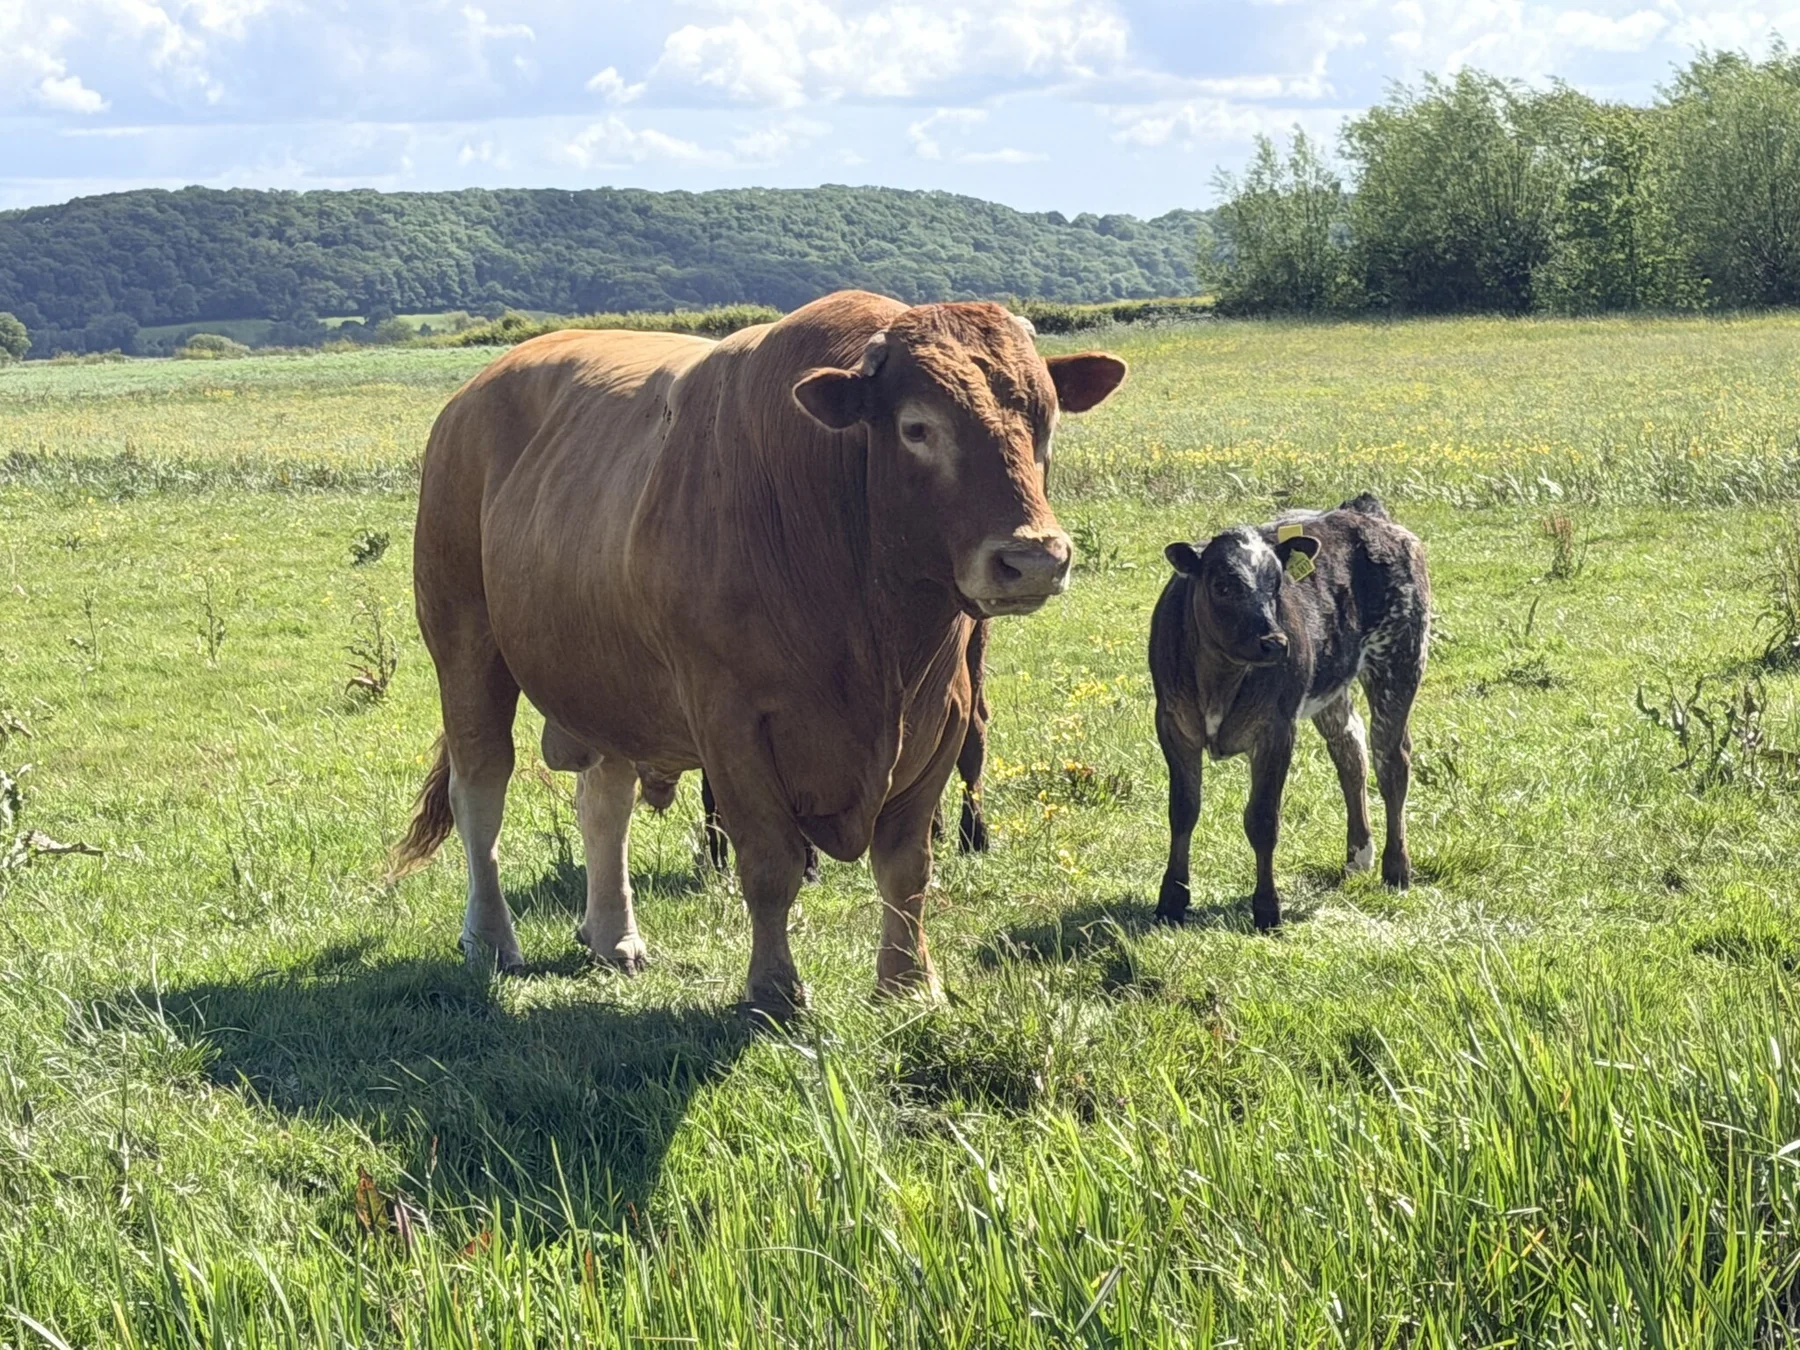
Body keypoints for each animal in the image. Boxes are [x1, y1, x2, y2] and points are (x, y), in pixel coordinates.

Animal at [389, 291, 1126, 1016]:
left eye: (1045, 422)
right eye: (918, 428)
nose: (1033, 559)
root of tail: (472, 395)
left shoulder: (943, 714)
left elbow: (907, 865)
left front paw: (909, 983)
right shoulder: (731, 722)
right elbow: (770, 864)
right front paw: (773, 986)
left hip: (609, 682)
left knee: (604, 801)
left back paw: (613, 934)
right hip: (465, 645)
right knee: (480, 791)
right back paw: (490, 937)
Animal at [1148, 493, 1429, 931]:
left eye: (1278, 583)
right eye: (1222, 584)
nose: (1275, 641)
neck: (1219, 681)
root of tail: (1363, 511)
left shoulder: (1276, 731)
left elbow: (1263, 820)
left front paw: (1267, 907)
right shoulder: (1173, 724)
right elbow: (1183, 811)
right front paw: (1172, 900)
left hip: (1400, 662)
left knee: (1392, 762)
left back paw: (1396, 868)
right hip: (1332, 688)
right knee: (1351, 754)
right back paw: (1358, 857)